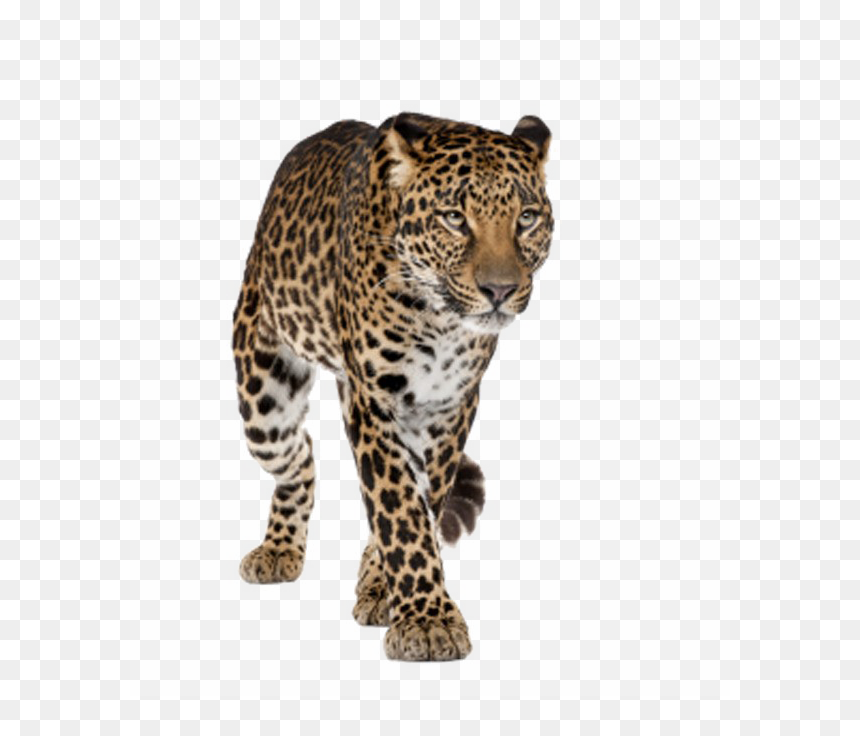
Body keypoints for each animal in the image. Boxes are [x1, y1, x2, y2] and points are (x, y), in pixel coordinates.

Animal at [233, 112, 553, 660]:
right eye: (454, 218)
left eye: (527, 217)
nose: (500, 290)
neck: (440, 320)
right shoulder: (374, 401)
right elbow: (399, 507)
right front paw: (427, 622)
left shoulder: (450, 405)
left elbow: (423, 501)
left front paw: (387, 590)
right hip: (263, 396)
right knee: (300, 458)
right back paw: (278, 549)